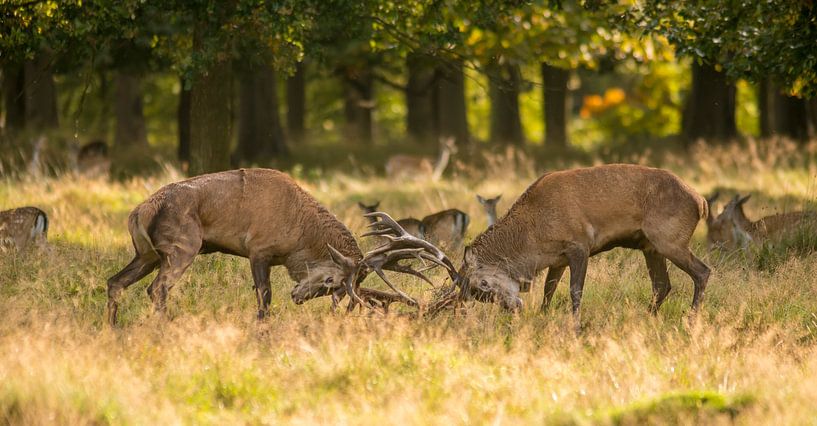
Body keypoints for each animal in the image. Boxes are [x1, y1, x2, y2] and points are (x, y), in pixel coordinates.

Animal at [358, 164, 711, 332]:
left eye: (482, 285)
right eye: (481, 296)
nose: (512, 307)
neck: (533, 236)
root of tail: (701, 201)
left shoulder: (579, 243)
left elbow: (575, 292)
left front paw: (575, 327)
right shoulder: (556, 257)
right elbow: (548, 291)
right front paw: (543, 317)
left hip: (669, 237)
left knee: (703, 271)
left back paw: (692, 320)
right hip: (649, 245)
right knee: (662, 285)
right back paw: (647, 319)